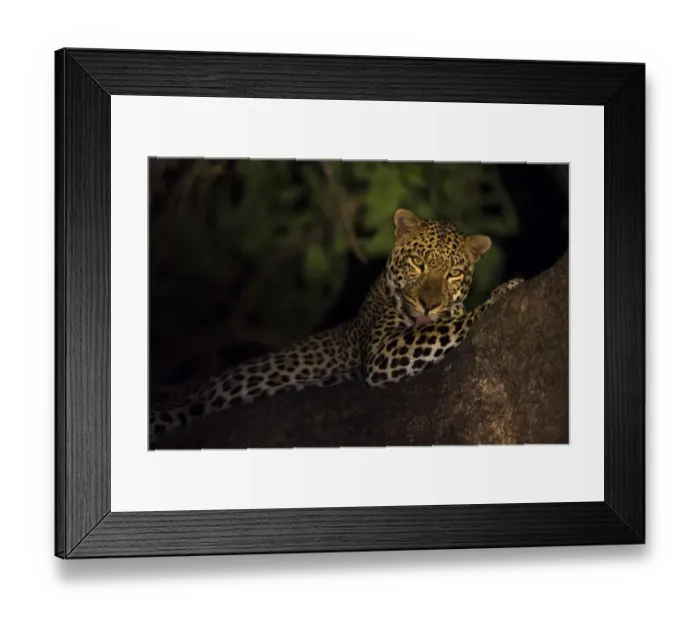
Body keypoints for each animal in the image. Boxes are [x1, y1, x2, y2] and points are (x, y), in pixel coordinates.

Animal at [149, 208, 523, 445]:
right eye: (418, 263)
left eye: (453, 274)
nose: (429, 304)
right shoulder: (382, 353)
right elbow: (446, 326)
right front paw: (501, 293)